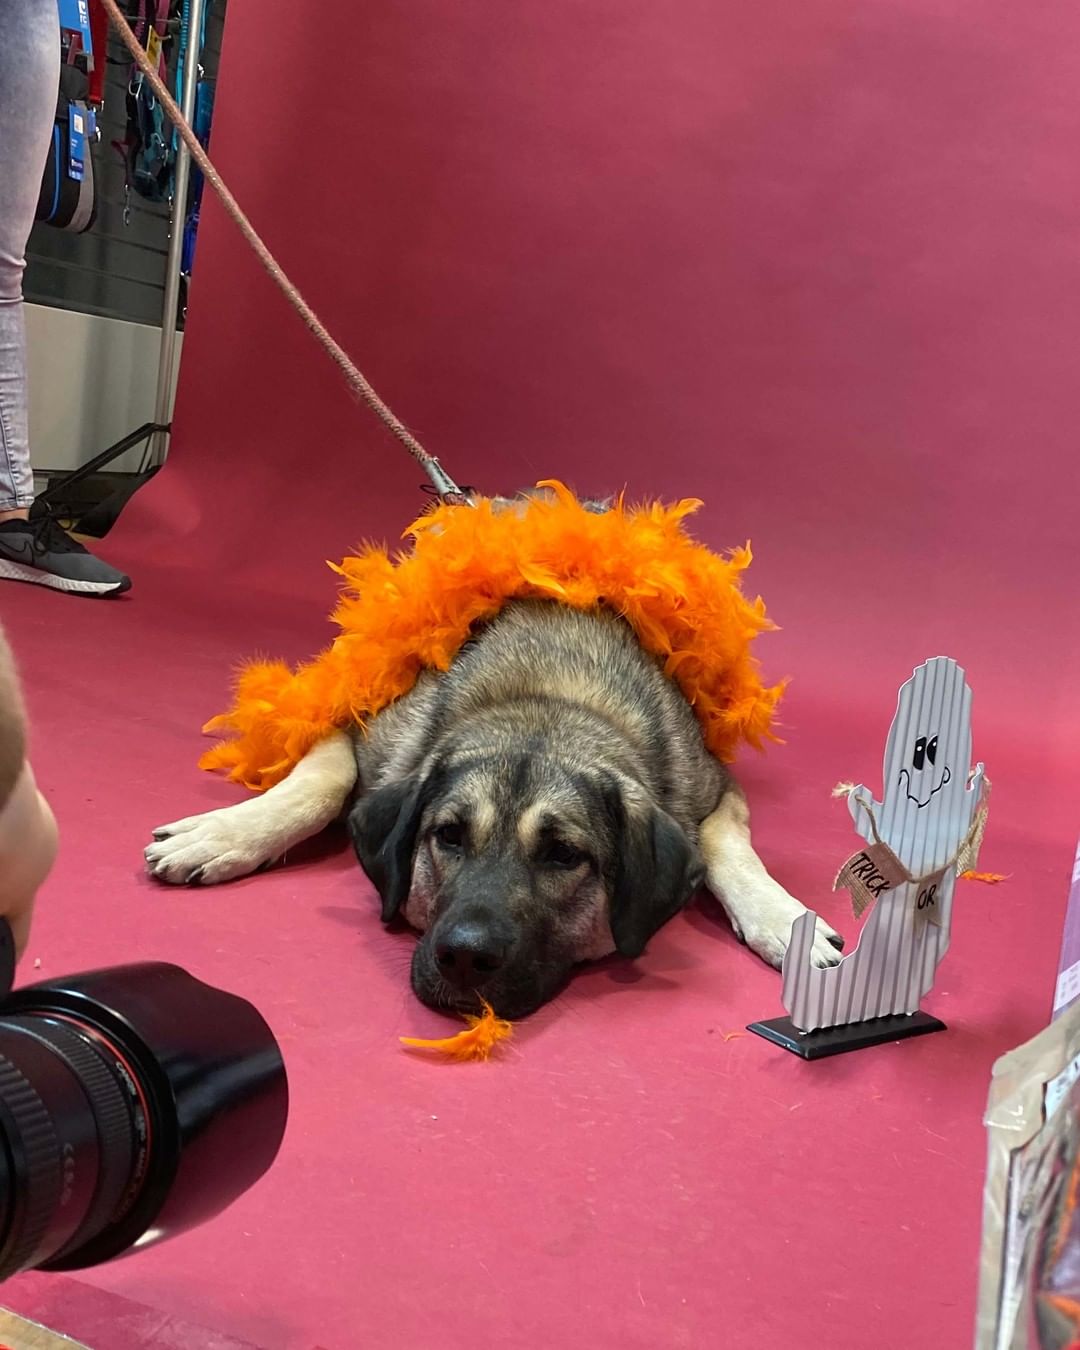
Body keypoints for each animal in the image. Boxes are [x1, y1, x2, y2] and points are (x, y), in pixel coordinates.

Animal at [145, 494, 842, 1015]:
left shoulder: (714, 785)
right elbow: (323, 778)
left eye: (564, 855)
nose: (464, 956)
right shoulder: (357, 719)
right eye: (448, 837)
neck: (546, 701)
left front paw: (785, 920)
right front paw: (224, 834)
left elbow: (725, 844)